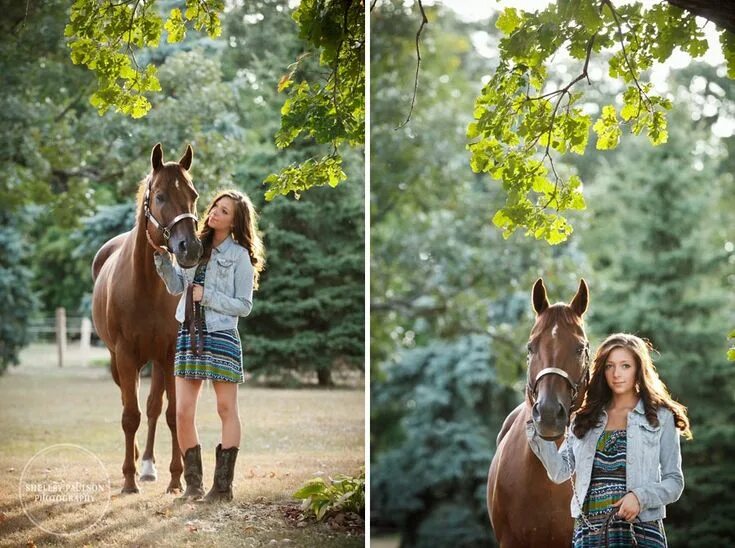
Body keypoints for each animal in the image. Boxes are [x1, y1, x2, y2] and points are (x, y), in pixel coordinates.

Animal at [92, 143, 203, 494]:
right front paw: (128, 480)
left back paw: (151, 466)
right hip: (119, 361)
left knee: (154, 407)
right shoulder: (125, 355)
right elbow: (130, 415)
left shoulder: (168, 354)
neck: (145, 286)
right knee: (131, 405)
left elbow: (170, 414)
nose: (190, 248)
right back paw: (139, 463)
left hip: (157, 361)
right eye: (161, 197)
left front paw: (177, 480)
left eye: (193, 195)